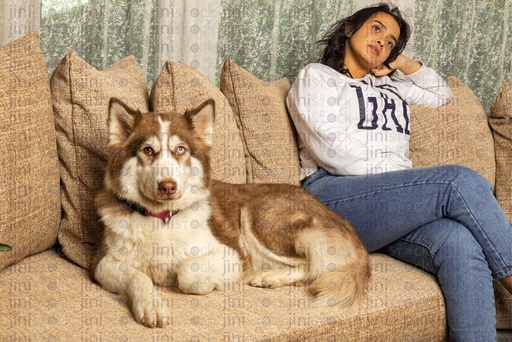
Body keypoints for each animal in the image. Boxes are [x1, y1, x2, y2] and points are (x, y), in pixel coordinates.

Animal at [92, 97, 370, 328]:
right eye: (148, 150)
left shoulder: (232, 253)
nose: (168, 186)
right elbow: (138, 277)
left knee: (310, 265)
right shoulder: (102, 263)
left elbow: (187, 273)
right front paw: (150, 305)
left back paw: (268, 276)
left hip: (258, 215)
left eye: (180, 149)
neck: (162, 219)